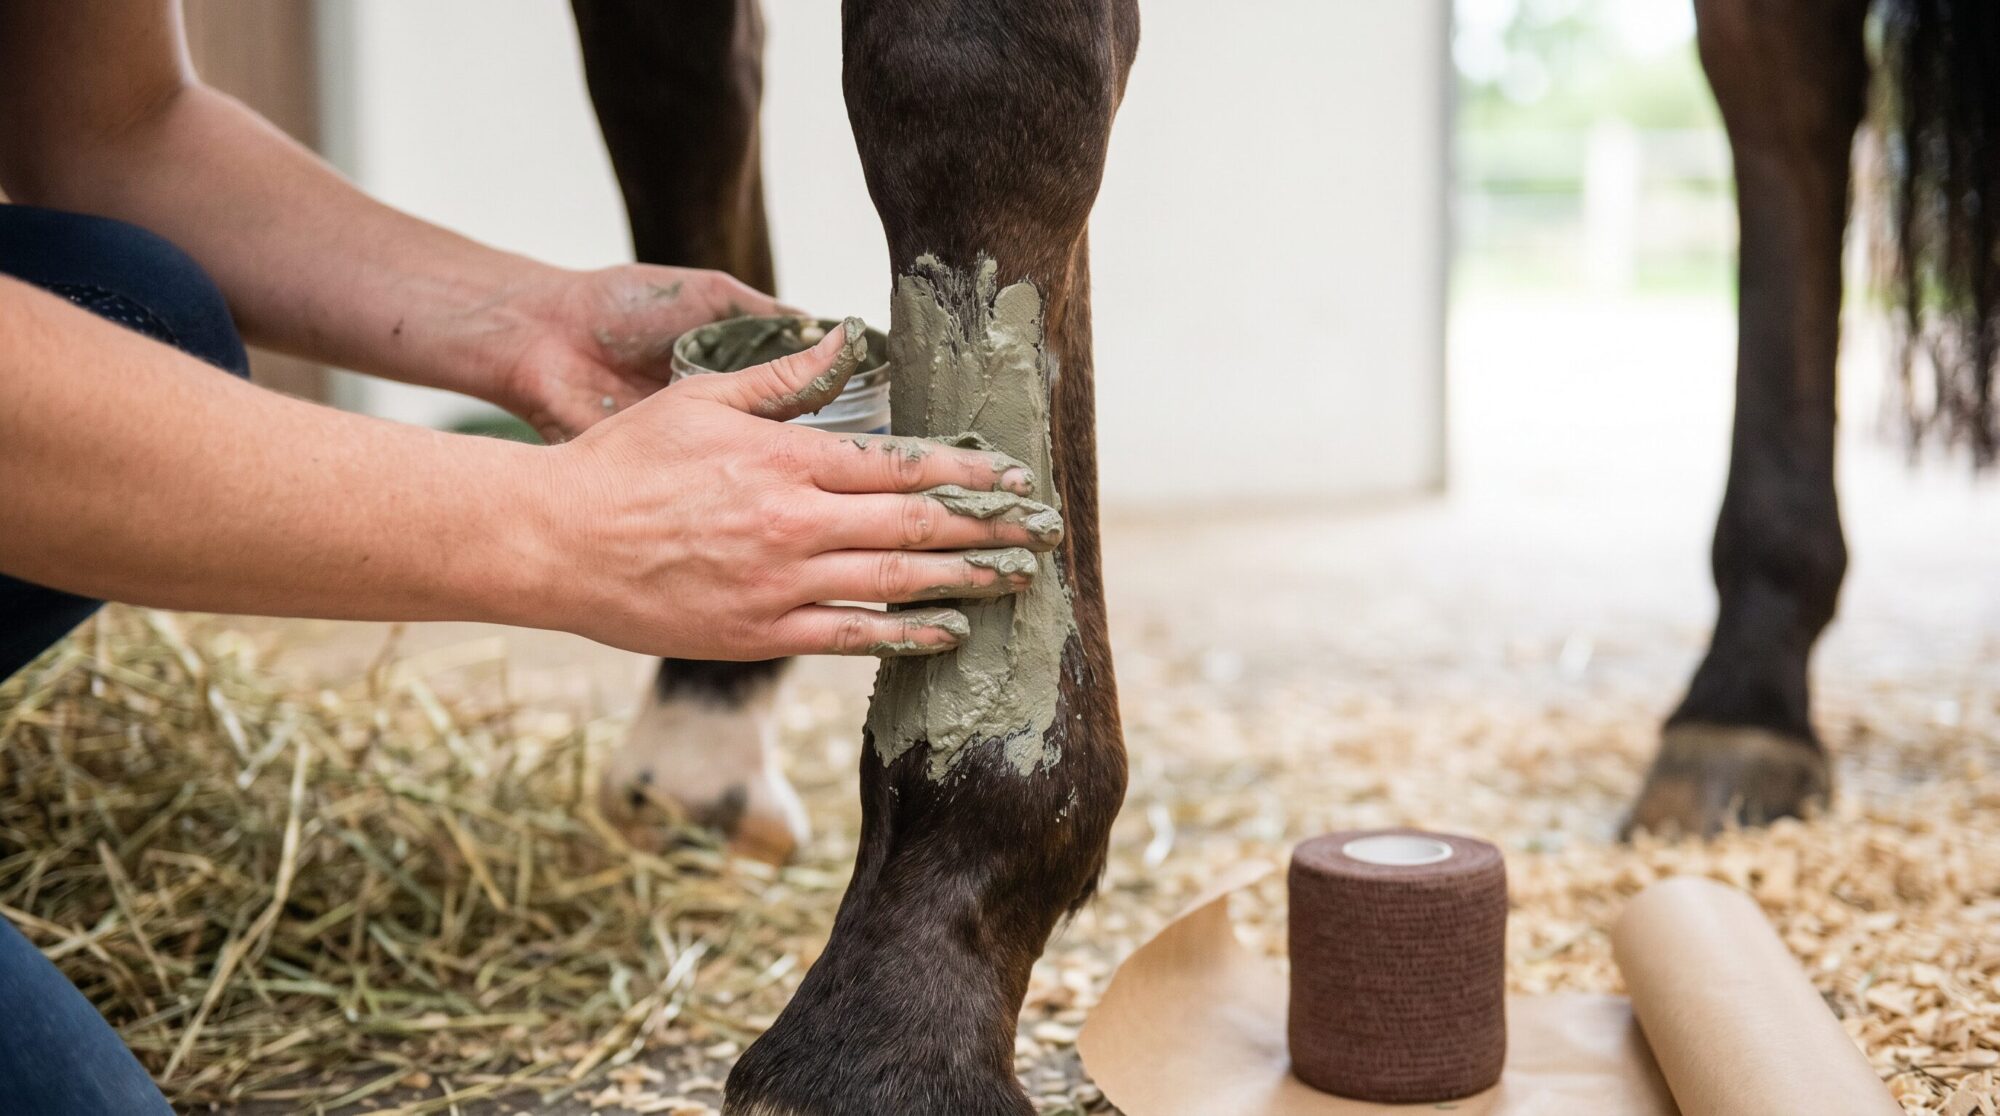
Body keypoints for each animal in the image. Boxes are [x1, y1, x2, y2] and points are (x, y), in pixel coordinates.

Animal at [564, 1, 1994, 1112]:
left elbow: (970, 80)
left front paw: (892, 1013)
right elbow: (670, 85)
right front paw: (705, 682)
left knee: (1782, 80)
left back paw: (1744, 699)